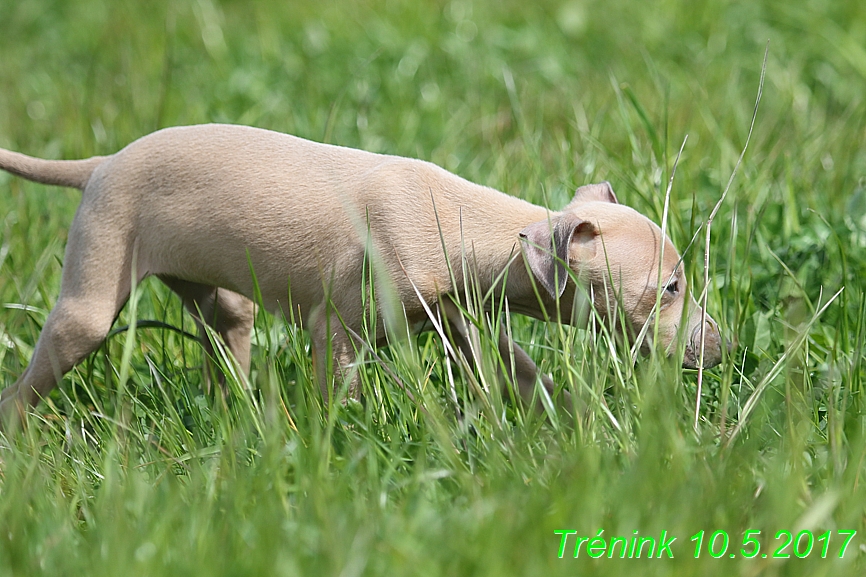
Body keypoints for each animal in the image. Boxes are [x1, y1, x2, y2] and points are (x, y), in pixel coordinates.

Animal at [0, 124, 724, 416]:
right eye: (670, 288)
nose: (723, 347)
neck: (459, 218)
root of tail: (99, 164)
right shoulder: (341, 324)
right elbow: (338, 390)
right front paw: (336, 446)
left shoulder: (459, 314)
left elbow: (514, 370)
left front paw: (568, 419)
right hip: (98, 270)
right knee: (43, 369)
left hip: (202, 279)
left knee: (229, 320)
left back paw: (236, 406)